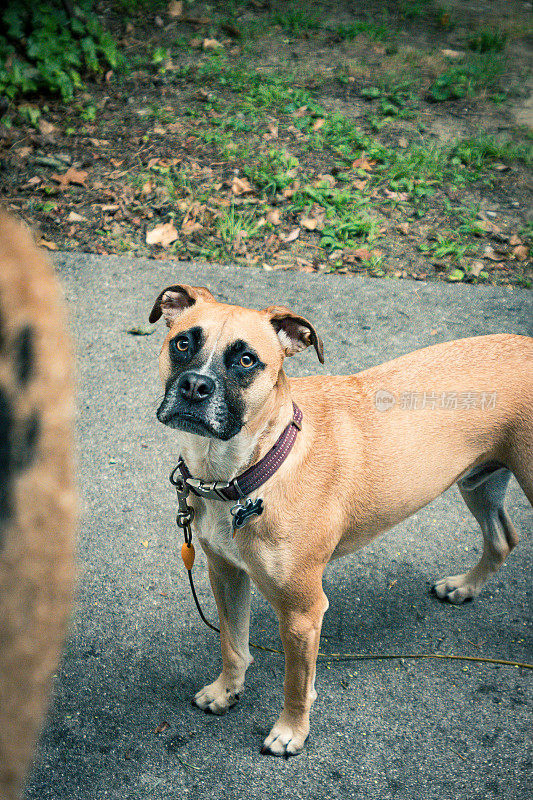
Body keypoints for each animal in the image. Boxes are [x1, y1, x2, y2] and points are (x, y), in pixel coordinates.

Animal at [149, 284, 532, 760]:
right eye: (183, 343)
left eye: (246, 360)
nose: (195, 385)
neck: (249, 469)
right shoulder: (226, 575)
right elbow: (233, 645)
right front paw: (226, 691)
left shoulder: (302, 612)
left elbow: (297, 683)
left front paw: (291, 732)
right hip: (479, 480)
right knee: (502, 539)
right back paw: (464, 586)